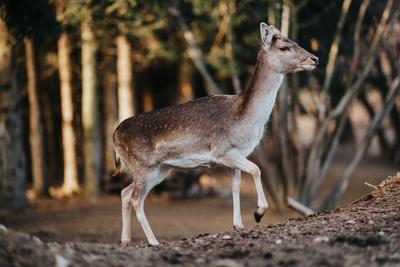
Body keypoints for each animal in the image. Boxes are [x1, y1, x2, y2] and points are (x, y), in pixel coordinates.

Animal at [113, 23, 318, 247]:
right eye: (284, 47)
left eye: (294, 41)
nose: (314, 59)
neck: (245, 122)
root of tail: (114, 136)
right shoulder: (223, 151)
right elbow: (256, 169)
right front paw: (258, 213)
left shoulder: (235, 158)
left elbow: (236, 186)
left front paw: (239, 225)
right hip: (144, 166)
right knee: (136, 199)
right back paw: (153, 241)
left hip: (160, 169)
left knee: (125, 193)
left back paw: (125, 241)